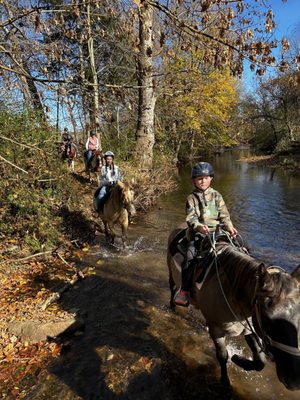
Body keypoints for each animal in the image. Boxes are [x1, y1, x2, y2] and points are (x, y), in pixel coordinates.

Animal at [168, 228, 298, 390]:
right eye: (268, 320)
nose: (292, 381)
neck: (233, 290)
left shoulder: (249, 327)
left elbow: (260, 361)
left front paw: (239, 360)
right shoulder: (217, 330)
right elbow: (223, 356)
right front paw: (225, 382)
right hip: (172, 276)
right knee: (173, 290)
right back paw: (173, 307)